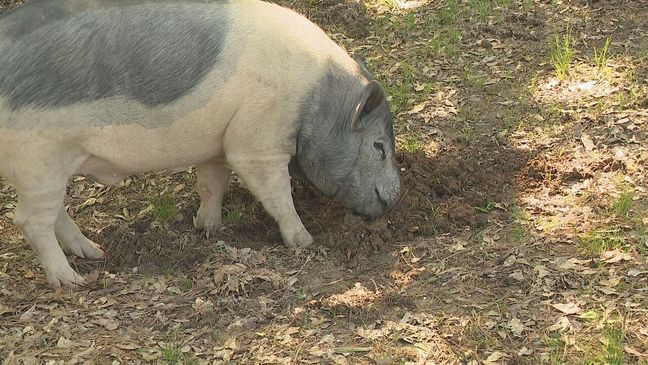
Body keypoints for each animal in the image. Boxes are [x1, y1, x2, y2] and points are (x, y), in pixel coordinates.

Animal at [0, 0, 402, 288]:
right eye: (379, 146)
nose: (397, 197)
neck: (315, 100)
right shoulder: (256, 139)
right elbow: (277, 193)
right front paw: (305, 241)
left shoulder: (218, 142)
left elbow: (212, 183)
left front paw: (208, 227)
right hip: (39, 159)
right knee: (29, 220)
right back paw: (71, 282)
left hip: (46, 168)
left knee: (54, 213)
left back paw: (94, 253)